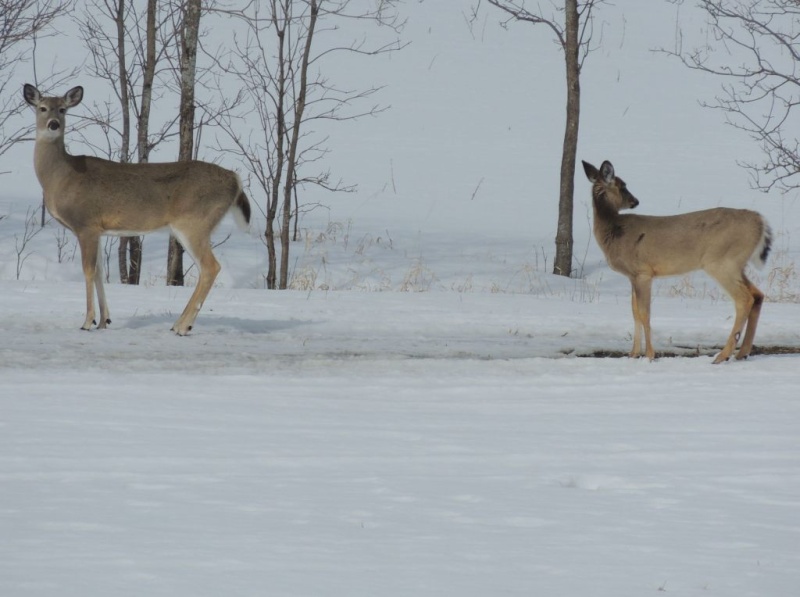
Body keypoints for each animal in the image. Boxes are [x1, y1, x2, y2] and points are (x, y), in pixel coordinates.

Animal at [25, 82, 250, 336]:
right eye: (42, 108)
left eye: (63, 109)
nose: (53, 124)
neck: (61, 176)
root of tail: (235, 180)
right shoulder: (98, 229)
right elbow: (99, 271)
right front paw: (104, 320)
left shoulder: (86, 224)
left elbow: (88, 271)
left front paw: (87, 322)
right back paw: (178, 323)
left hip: (194, 223)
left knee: (211, 267)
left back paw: (182, 326)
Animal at [580, 159, 768, 364]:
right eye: (622, 186)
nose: (635, 201)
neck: (615, 231)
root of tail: (760, 221)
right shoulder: (632, 276)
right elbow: (635, 312)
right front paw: (633, 354)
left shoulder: (643, 272)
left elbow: (644, 313)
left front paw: (649, 355)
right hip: (736, 265)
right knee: (758, 294)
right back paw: (742, 353)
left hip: (722, 262)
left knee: (744, 298)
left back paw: (722, 356)